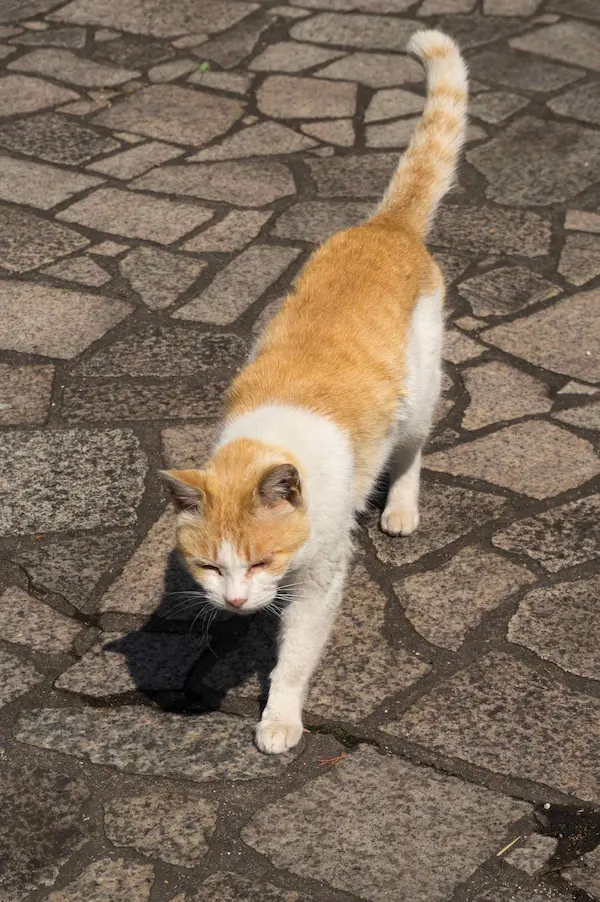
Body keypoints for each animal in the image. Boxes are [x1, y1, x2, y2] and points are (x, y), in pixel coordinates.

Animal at [163, 30, 468, 756]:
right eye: (210, 567)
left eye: (262, 558)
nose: (235, 601)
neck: (269, 438)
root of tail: (385, 227)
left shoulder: (321, 575)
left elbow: (297, 653)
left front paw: (279, 717)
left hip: (417, 394)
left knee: (413, 448)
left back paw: (402, 507)